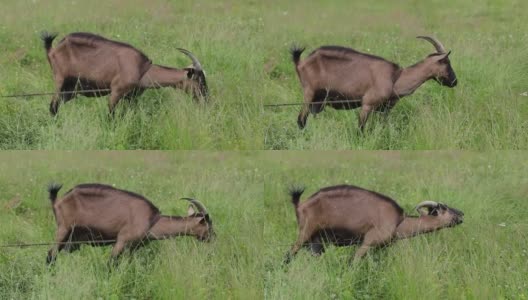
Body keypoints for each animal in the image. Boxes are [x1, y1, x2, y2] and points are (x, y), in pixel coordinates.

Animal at [40, 31, 208, 115]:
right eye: (199, 80)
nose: (206, 101)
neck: (143, 69)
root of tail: (52, 49)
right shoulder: (116, 92)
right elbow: (111, 115)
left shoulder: (132, 97)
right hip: (60, 81)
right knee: (52, 107)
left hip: (71, 90)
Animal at [45, 182, 213, 264]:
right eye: (209, 225)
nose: (213, 238)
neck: (152, 221)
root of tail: (58, 200)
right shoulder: (121, 241)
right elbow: (110, 264)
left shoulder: (132, 248)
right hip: (63, 229)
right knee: (50, 255)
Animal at [284, 184, 462, 264]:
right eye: (445, 208)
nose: (461, 215)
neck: (399, 221)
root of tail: (300, 205)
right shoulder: (367, 243)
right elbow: (352, 264)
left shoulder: (379, 248)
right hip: (305, 233)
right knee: (289, 254)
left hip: (317, 243)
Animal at [290, 36, 456, 130]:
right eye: (447, 62)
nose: (455, 81)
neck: (396, 78)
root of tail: (301, 62)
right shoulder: (367, 104)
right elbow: (361, 129)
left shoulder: (383, 109)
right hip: (309, 93)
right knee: (300, 120)